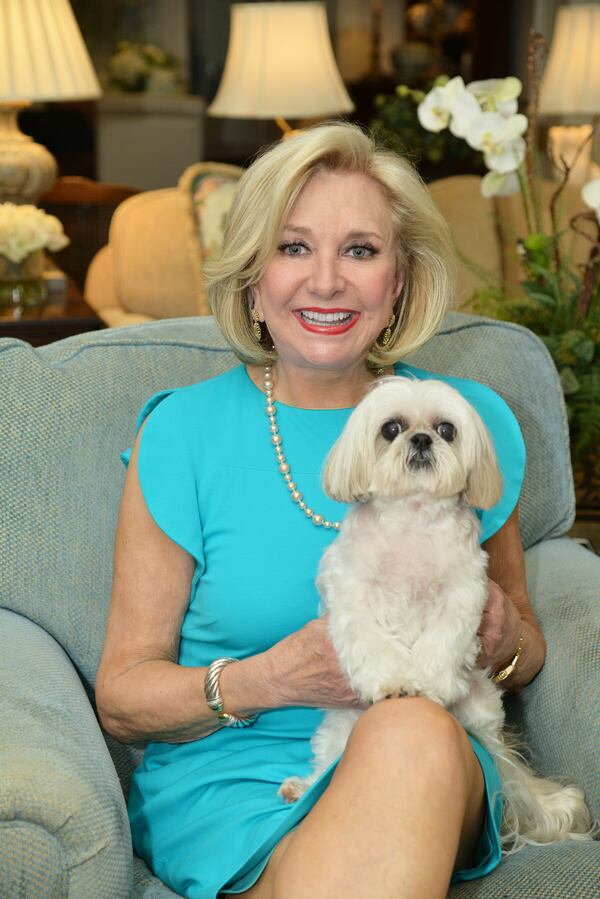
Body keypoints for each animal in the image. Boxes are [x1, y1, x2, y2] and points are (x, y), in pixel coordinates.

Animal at [278, 376, 592, 856]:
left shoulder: (463, 592)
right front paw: (392, 680)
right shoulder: (352, 591)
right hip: (341, 725)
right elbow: (370, 637)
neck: (413, 515)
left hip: (479, 711)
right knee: (329, 758)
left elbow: (443, 638)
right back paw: (303, 787)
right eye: (391, 429)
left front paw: (426, 683)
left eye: (447, 429)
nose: (422, 439)